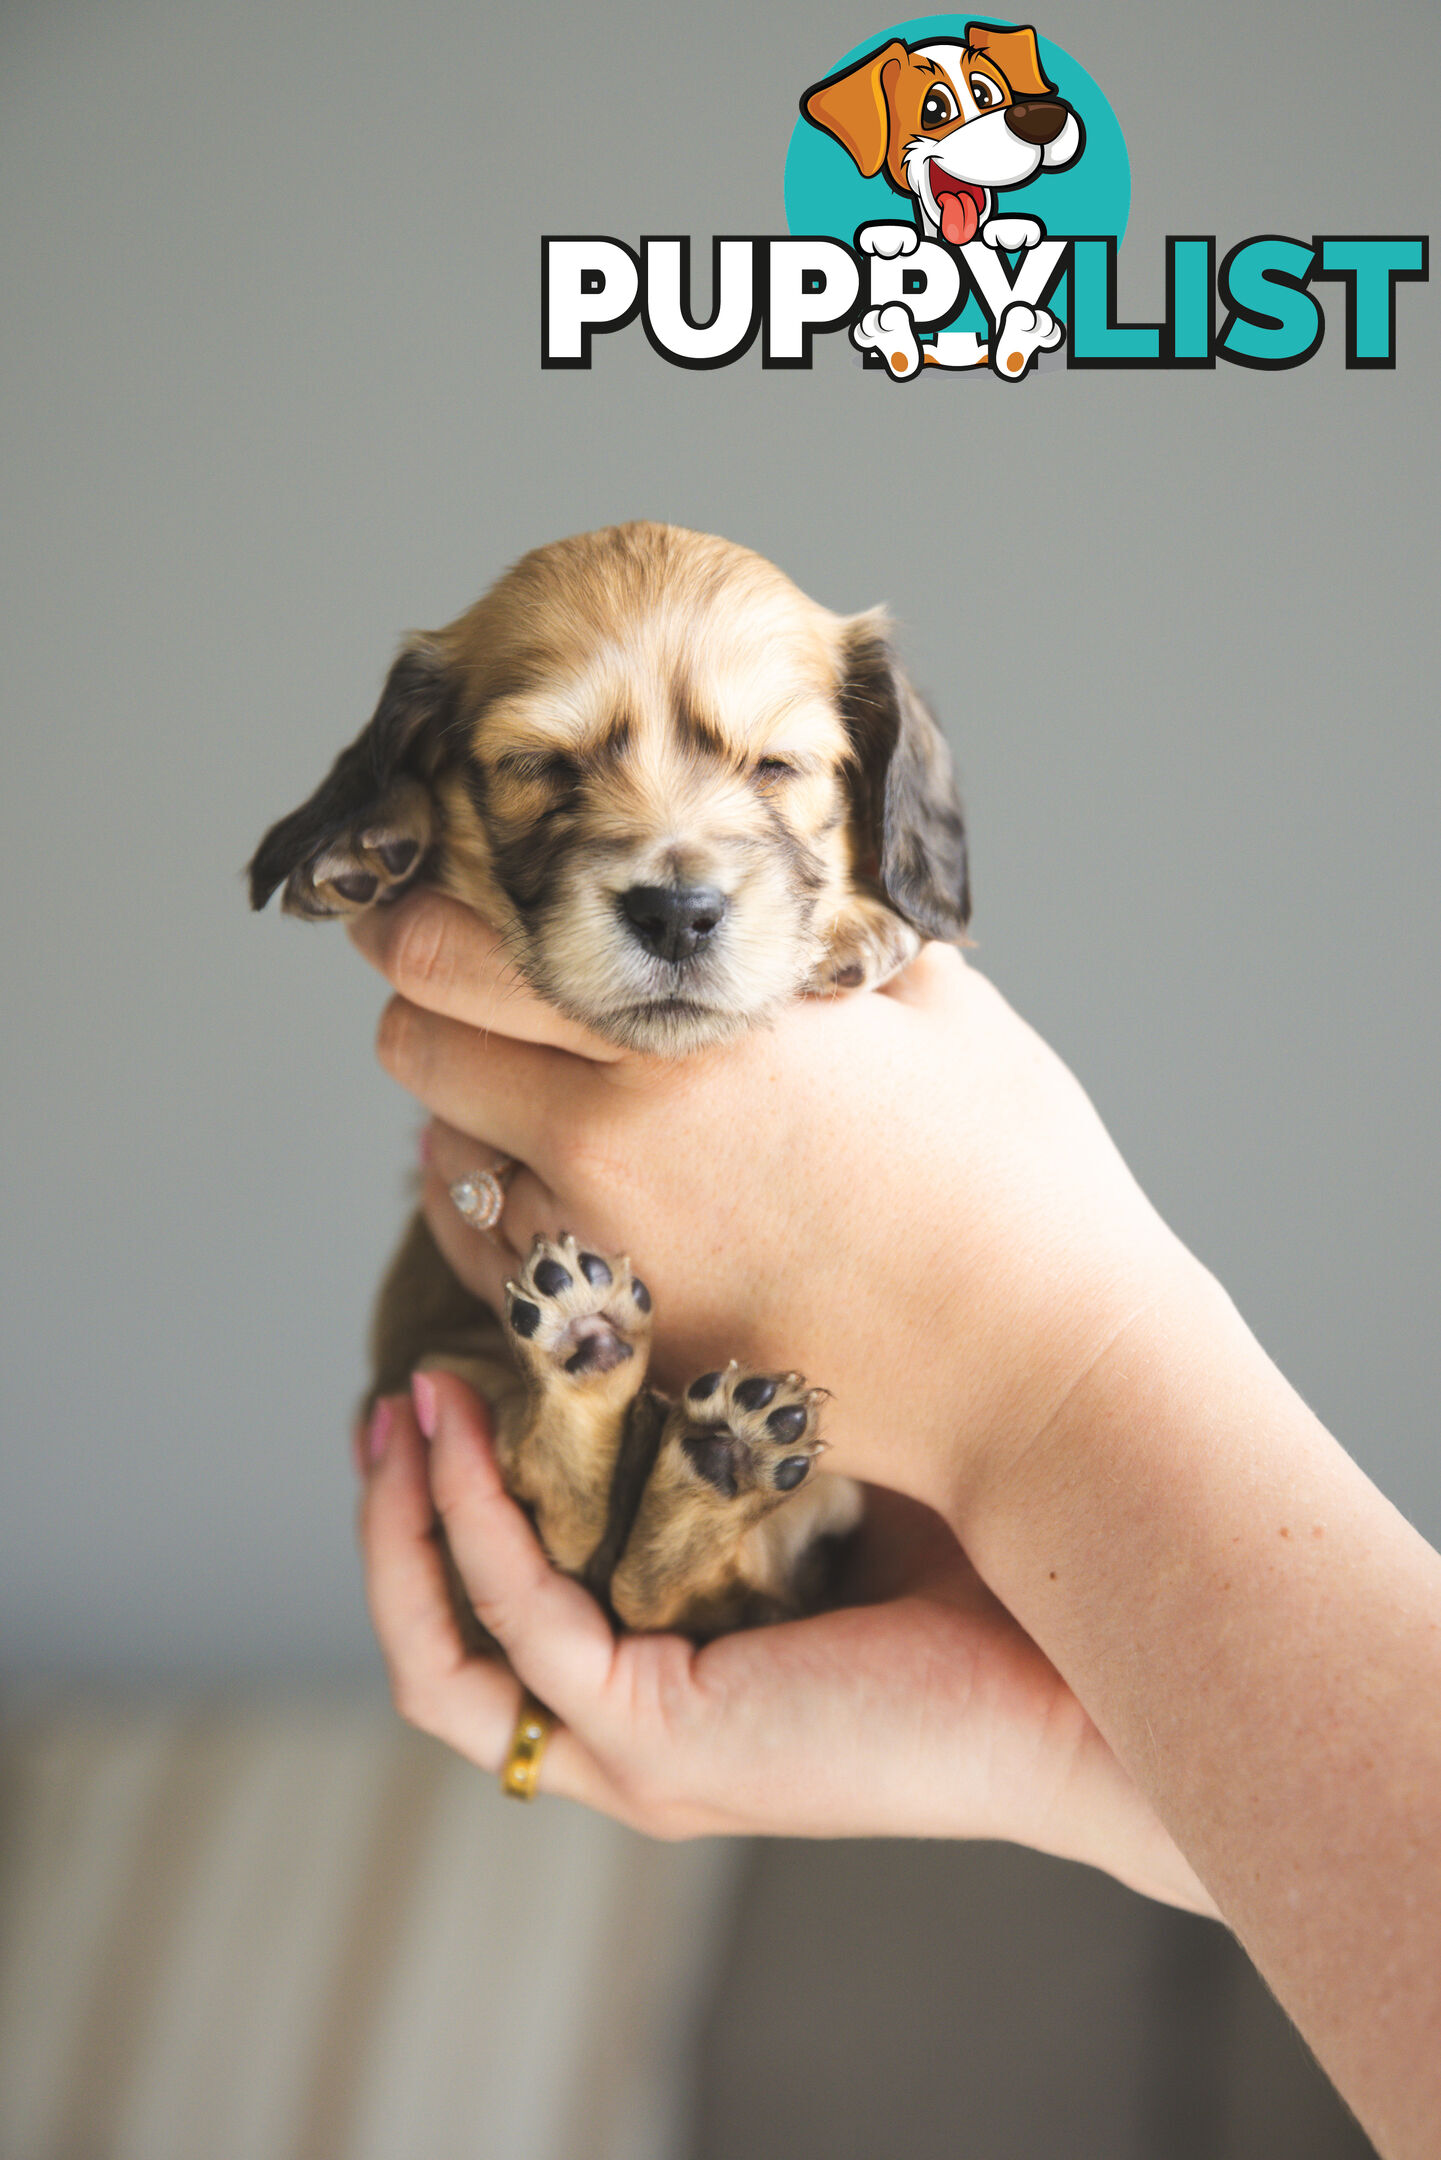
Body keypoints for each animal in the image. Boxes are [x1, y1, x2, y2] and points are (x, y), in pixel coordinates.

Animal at [250, 522, 967, 1632]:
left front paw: (859, 930)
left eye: (777, 766)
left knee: (662, 1586)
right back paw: (602, 1365)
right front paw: (372, 835)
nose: (676, 912)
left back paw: (717, 1455)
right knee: (584, 1531)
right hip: (443, 1375)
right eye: (540, 766)